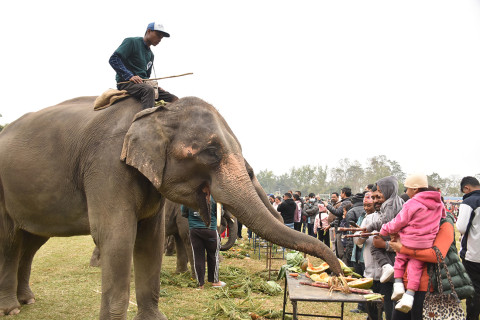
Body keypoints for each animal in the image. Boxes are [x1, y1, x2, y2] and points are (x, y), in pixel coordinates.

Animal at [0, 94, 342, 318]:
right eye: (211, 152)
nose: (337, 275)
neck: (155, 113)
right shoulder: (106, 165)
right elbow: (118, 237)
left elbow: (149, 241)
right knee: (10, 241)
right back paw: (12, 307)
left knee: (30, 241)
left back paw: (27, 300)